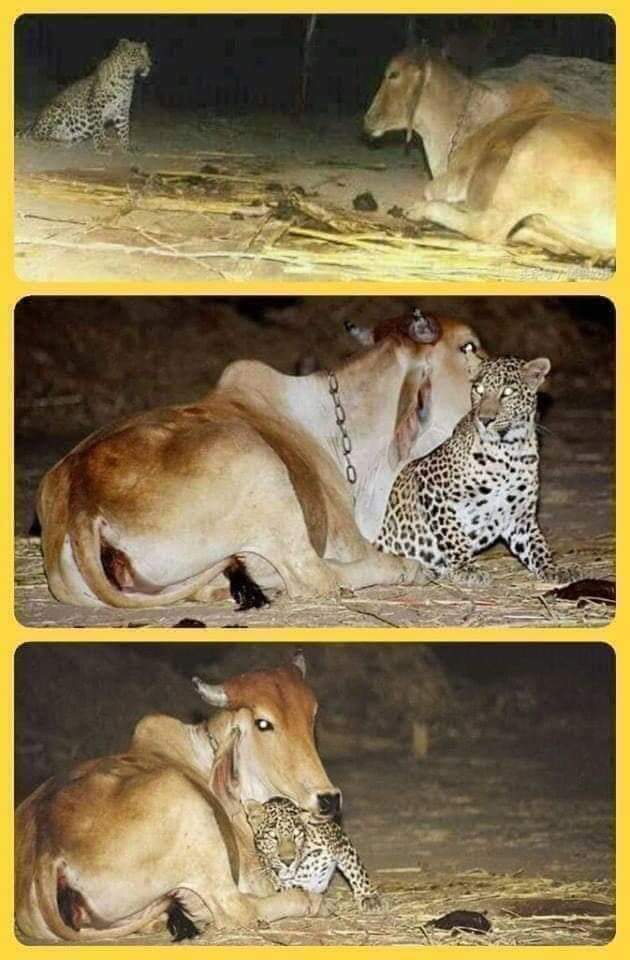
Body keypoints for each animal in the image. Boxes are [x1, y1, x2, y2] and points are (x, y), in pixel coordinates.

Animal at [15, 653, 339, 942]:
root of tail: (46, 853)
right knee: (236, 908)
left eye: (312, 715)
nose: (328, 798)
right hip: (191, 811)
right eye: (263, 723)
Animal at [18, 39, 151, 153]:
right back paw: (54, 141)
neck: (126, 79)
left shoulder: (122, 110)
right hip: (56, 109)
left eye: (148, 55)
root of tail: (34, 125)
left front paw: (127, 147)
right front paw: (101, 147)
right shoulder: (96, 107)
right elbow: (98, 128)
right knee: (37, 136)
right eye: (139, 54)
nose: (150, 65)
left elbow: (124, 129)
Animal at [245, 797, 382, 913]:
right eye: (273, 837)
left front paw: (368, 897)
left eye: (296, 836)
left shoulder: (340, 839)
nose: (288, 861)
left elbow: (356, 870)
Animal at [364, 47, 615, 263]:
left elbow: (430, 189)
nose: (367, 119)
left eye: (393, 74)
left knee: (489, 229)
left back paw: (421, 210)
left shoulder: (458, 178)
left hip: (528, 154)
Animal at [376, 355, 576, 587]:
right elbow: (452, 533)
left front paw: (553, 568)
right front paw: (466, 568)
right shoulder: (430, 485)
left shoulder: (520, 518)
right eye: (479, 389)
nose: (485, 419)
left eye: (508, 392)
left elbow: (537, 545)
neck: (509, 452)